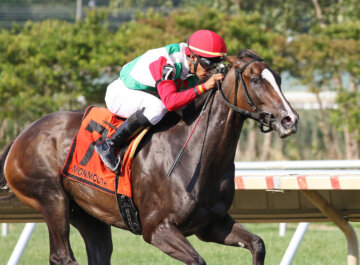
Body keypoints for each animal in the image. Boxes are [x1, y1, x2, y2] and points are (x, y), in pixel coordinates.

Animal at [0, 50, 298, 264]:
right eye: (256, 80)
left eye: (279, 79)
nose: (290, 120)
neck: (196, 155)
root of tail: (21, 136)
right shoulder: (157, 229)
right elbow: (197, 260)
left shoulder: (212, 224)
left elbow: (257, 244)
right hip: (52, 199)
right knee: (62, 256)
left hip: (88, 213)